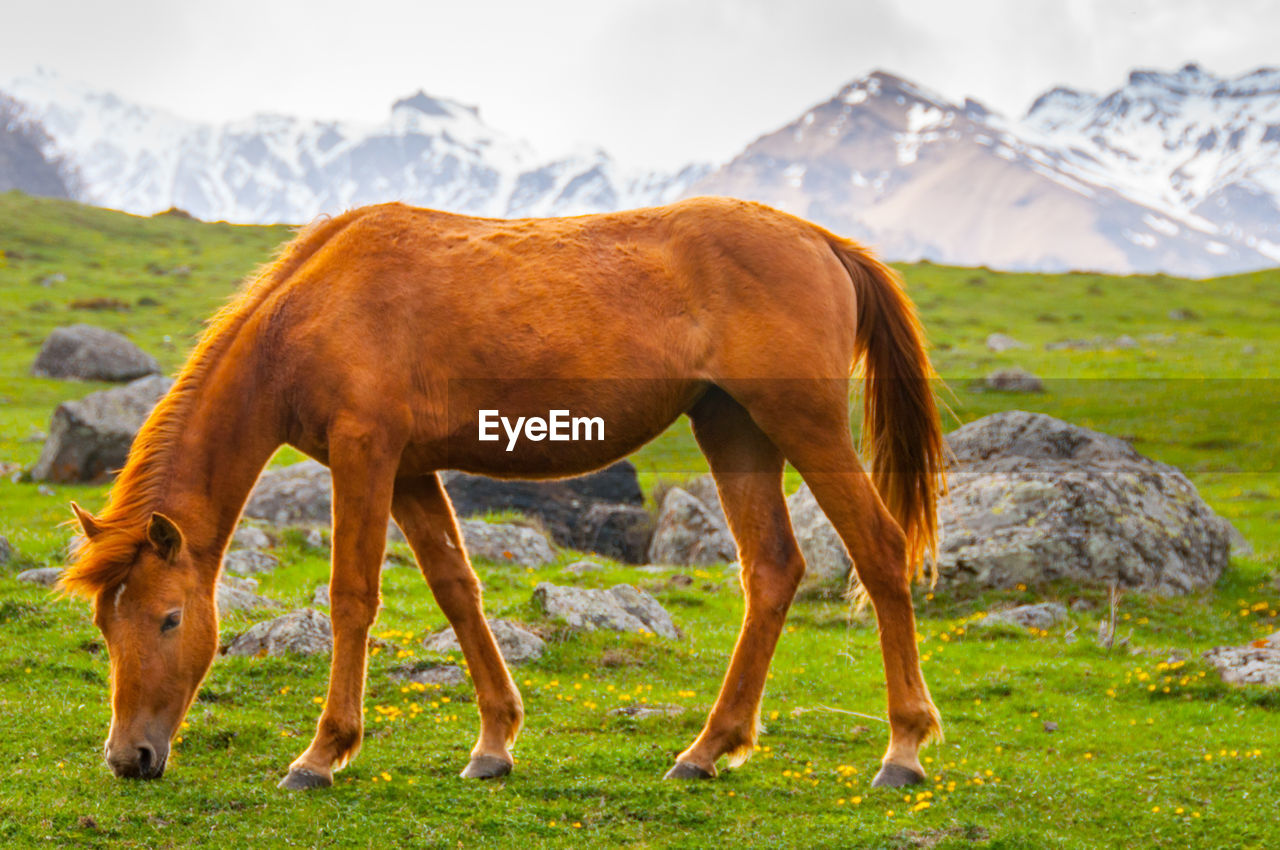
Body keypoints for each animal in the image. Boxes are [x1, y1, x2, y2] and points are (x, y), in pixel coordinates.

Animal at [57, 197, 942, 788]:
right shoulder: (410, 469)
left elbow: (352, 596)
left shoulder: (365, 455)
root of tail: (822, 240)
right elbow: (456, 588)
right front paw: (494, 742)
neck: (310, 310)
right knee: (772, 571)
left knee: (878, 550)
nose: (129, 757)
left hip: (804, 426)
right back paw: (707, 748)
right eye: (105, 624)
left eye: (170, 619)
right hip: (733, 429)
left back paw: (902, 749)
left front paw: (323, 752)